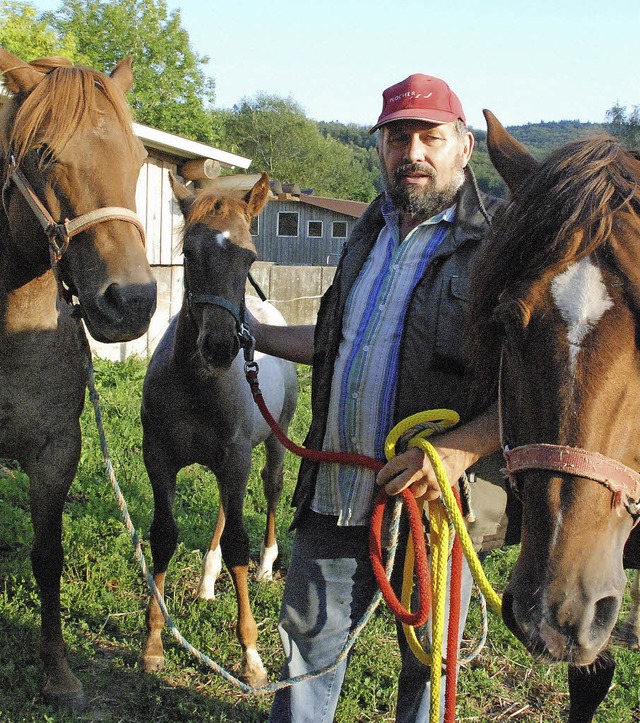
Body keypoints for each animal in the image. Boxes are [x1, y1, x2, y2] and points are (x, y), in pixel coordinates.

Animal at [140, 173, 298, 688]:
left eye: (249, 256)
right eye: (188, 253)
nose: (220, 345)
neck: (196, 383)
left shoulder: (237, 456)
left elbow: (238, 547)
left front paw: (251, 657)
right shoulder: (159, 457)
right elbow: (164, 535)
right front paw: (154, 643)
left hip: (269, 444)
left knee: (269, 491)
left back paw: (267, 564)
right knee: (226, 509)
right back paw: (208, 580)